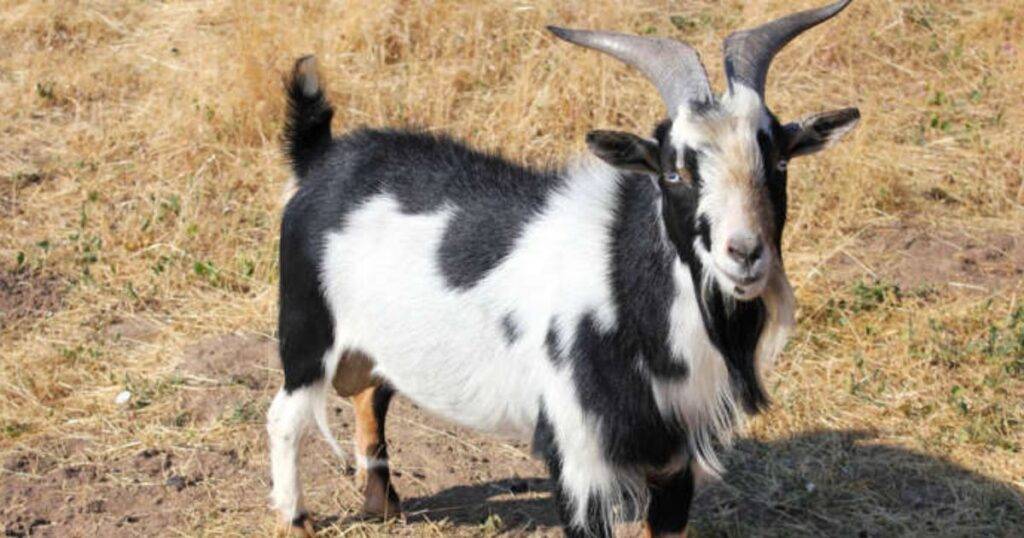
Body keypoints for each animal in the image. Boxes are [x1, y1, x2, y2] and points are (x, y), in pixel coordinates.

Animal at [267, 1, 860, 536]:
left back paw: (382, 505)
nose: (744, 252)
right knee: (285, 415)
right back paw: (297, 519)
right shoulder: (578, 457)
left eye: (778, 161)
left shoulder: (672, 458)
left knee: (370, 392)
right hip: (307, 325)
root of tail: (321, 158)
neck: (623, 282)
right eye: (674, 172)